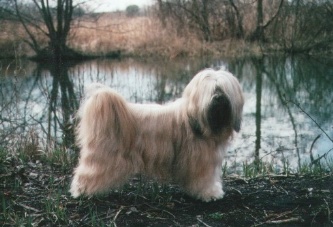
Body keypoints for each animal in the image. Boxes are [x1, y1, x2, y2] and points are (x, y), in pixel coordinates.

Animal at [68, 68, 243, 201]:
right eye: (211, 90)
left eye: (223, 89)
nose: (219, 98)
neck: (196, 120)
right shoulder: (200, 163)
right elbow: (204, 180)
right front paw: (210, 193)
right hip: (103, 156)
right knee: (88, 173)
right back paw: (81, 191)